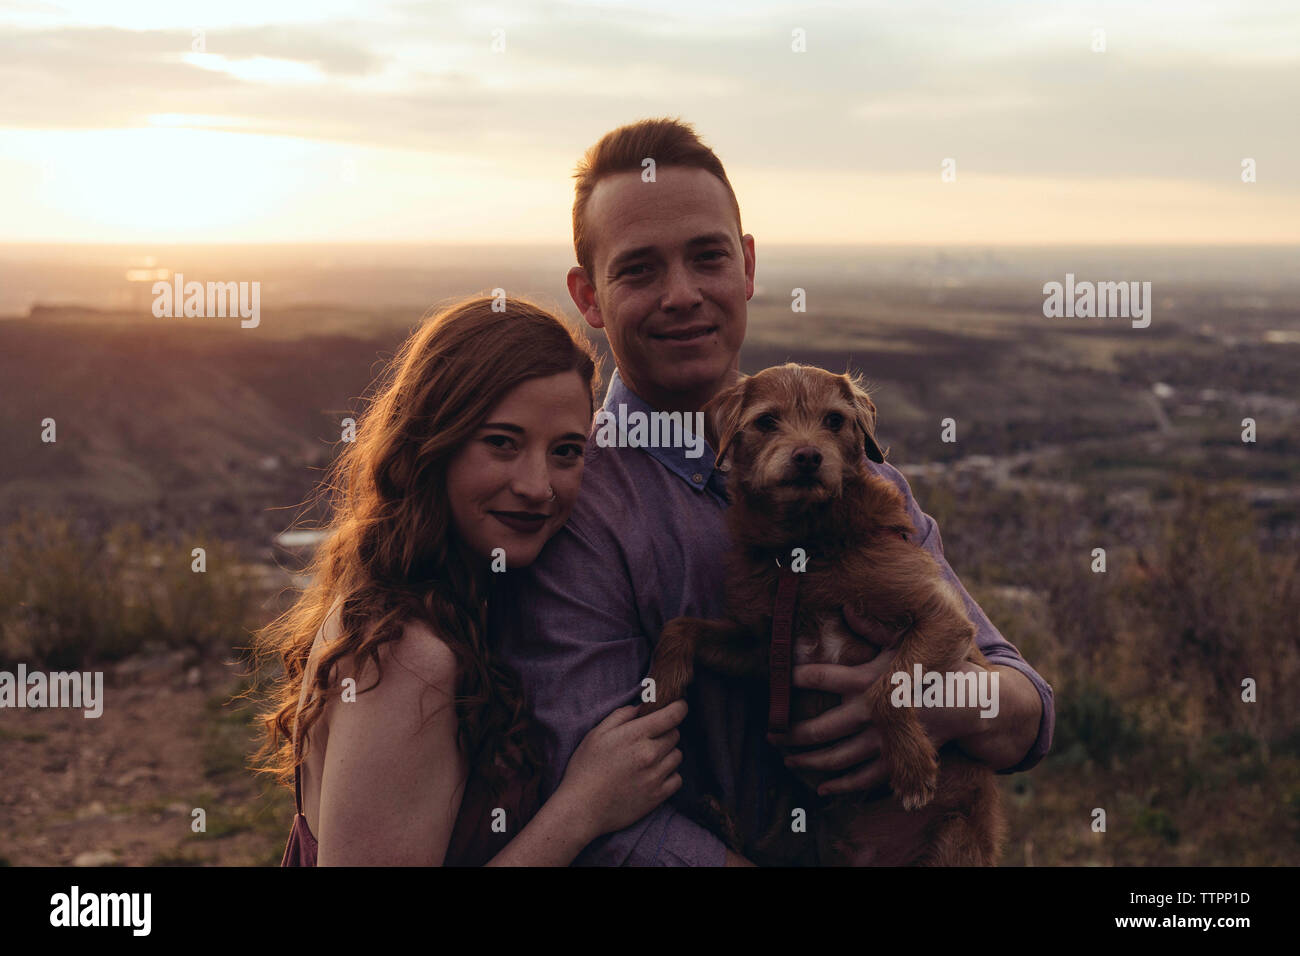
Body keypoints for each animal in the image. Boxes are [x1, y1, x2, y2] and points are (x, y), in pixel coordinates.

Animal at [639, 361, 1003, 868]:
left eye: (835, 420)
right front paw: (661, 687)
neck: (805, 548)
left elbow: (884, 688)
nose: (808, 457)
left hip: (953, 843)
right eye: (766, 421)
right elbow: (681, 627)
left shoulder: (942, 618)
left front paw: (912, 768)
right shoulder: (764, 650)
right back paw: (715, 815)